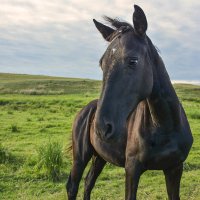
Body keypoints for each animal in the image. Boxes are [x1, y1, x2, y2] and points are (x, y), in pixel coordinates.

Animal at [66, 4, 193, 200]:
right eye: (102, 64)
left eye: (133, 60)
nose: (102, 128)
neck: (164, 125)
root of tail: (85, 110)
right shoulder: (132, 170)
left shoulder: (175, 168)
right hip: (80, 157)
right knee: (73, 186)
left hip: (100, 157)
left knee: (88, 182)